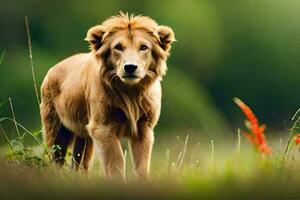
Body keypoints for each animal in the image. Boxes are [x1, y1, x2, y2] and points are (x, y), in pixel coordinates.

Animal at [39, 13, 176, 180]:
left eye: (144, 47)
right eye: (118, 47)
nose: (130, 67)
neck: (131, 93)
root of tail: (51, 70)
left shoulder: (144, 127)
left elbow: (142, 164)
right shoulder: (103, 127)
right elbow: (116, 161)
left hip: (84, 133)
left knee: (80, 161)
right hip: (56, 127)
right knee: (56, 157)